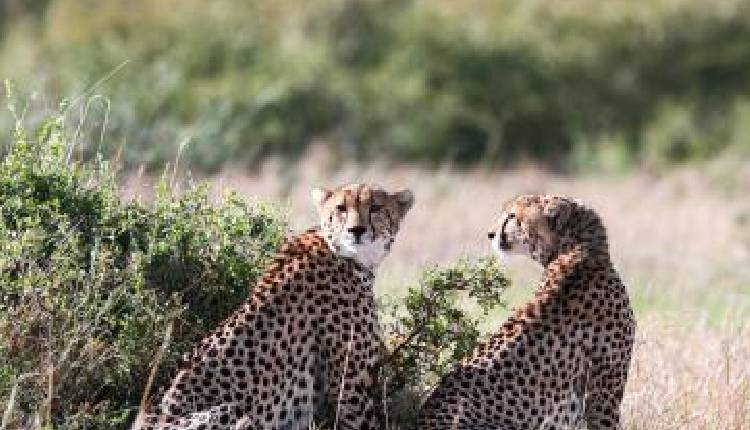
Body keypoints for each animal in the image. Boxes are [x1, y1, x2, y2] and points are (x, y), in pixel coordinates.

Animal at [133, 183, 414, 430]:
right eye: (341, 208)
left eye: (376, 207)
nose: (356, 230)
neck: (347, 257)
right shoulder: (349, 381)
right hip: (235, 409)